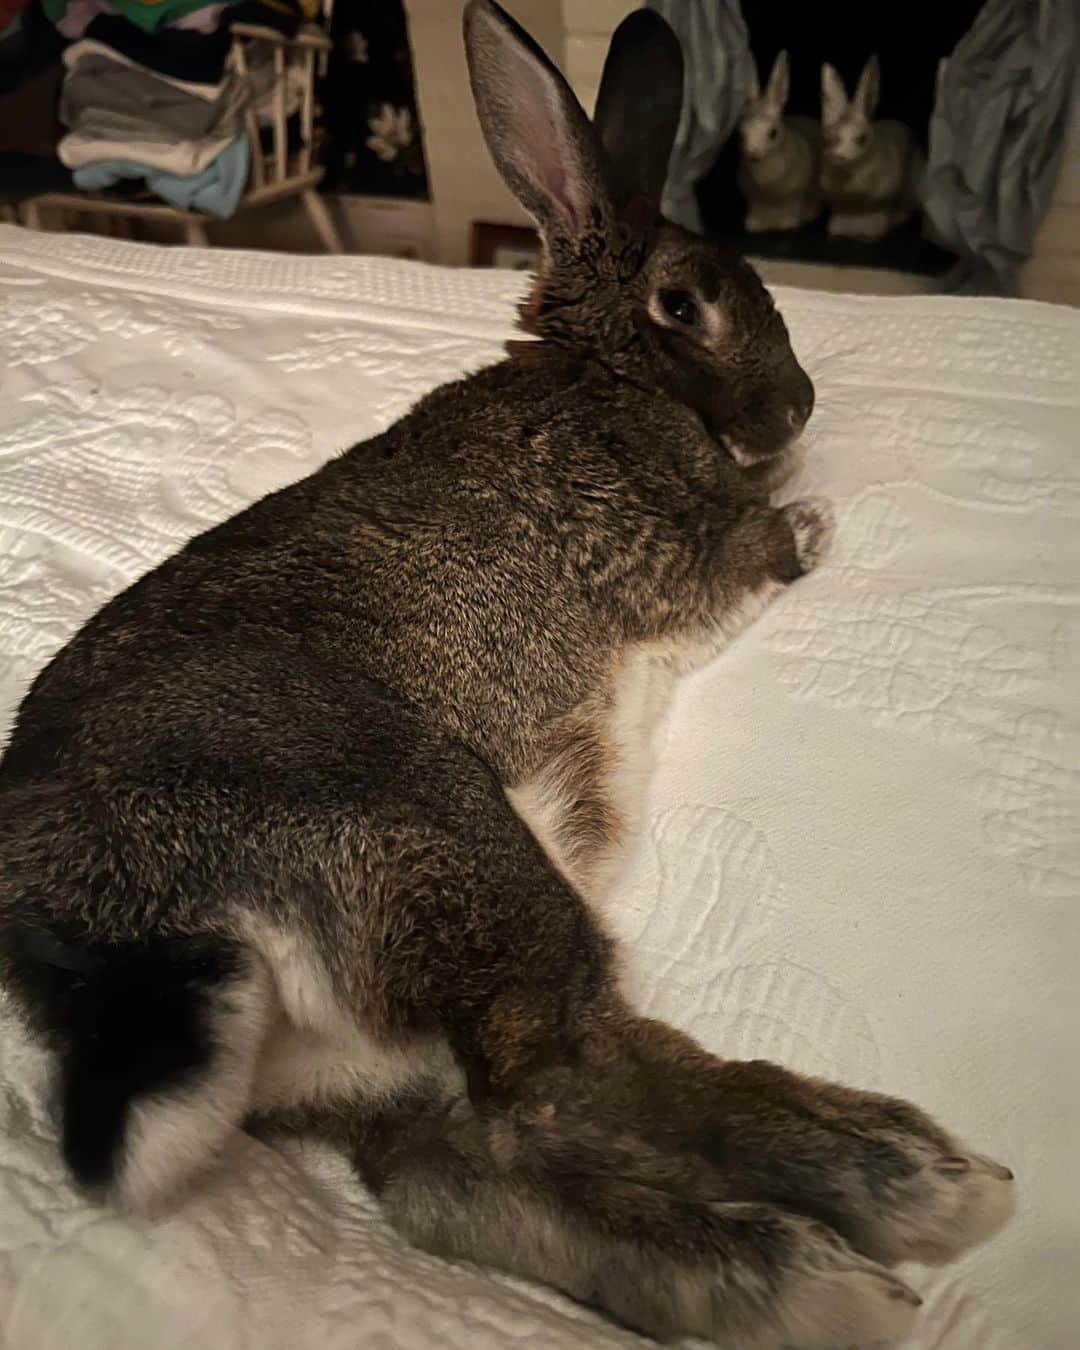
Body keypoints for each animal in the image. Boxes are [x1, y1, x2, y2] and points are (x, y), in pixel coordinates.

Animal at [738, 49, 822, 232]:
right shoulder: (754, 200)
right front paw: (753, 225)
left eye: (773, 133)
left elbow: (792, 209)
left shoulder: (795, 196)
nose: (753, 155)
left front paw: (788, 223)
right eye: (742, 133)